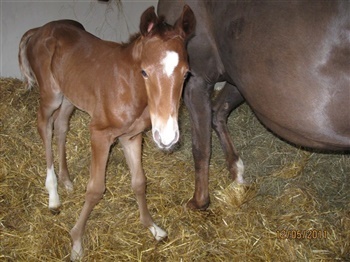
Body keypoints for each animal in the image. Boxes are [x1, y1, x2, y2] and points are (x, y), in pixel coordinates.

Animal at [18, 6, 197, 260]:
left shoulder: (131, 137)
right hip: (51, 94)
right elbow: (95, 189)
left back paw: (66, 180)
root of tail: (39, 30)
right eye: (144, 72)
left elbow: (139, 182)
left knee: (61, 125)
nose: (167, 137)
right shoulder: (100, 135)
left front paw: (153, 227)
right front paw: (76, 242)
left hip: (70, 95)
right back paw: (53, 194)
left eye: (186, 74)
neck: (130, 89)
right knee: (45, 125)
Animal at [157, 0, 348, 209]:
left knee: (217, 112)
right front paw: (199, 202)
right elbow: (201, 147)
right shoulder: (197, 78)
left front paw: (199, 202)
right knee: (216, 115)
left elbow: (201, 146)